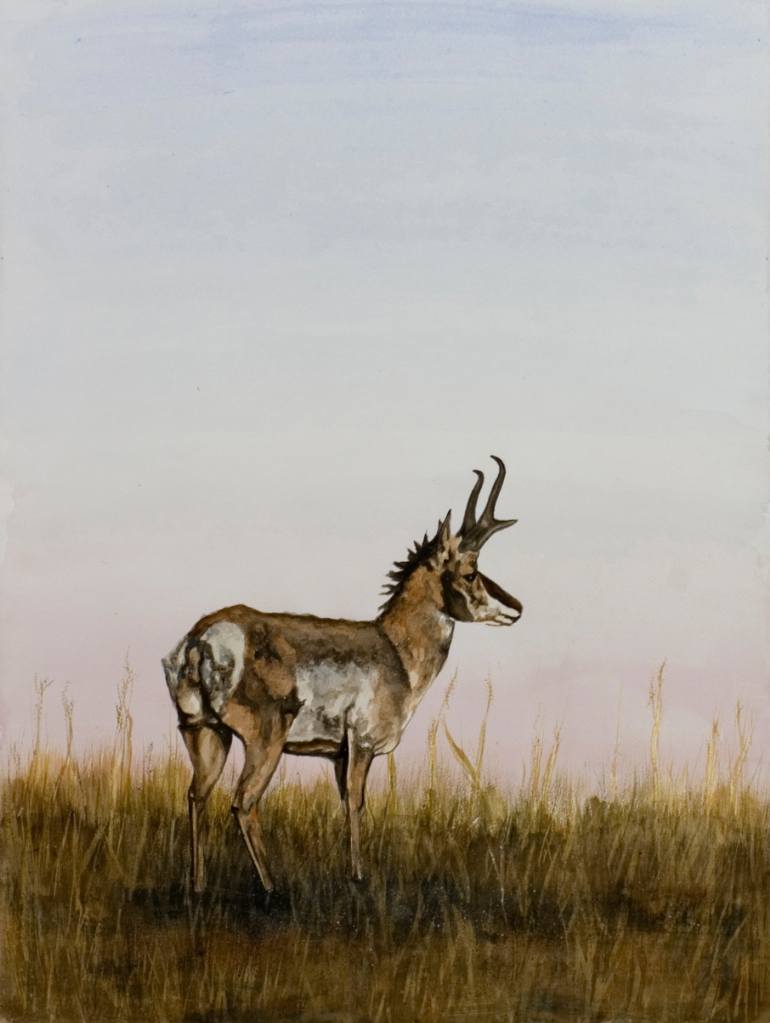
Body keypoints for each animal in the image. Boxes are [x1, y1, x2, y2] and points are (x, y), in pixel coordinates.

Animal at [162, 456, 523, 893]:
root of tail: (201, 638)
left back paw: (197, 887)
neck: (394, 647)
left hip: (204, 732)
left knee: (196, 796)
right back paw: (271, 887)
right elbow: (356, 803)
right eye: (471, 571)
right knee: (243, 802)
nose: (517, 609)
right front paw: (359, 875)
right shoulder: (362, 744)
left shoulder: (337, 754)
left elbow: (342, 802)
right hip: (264, 740)